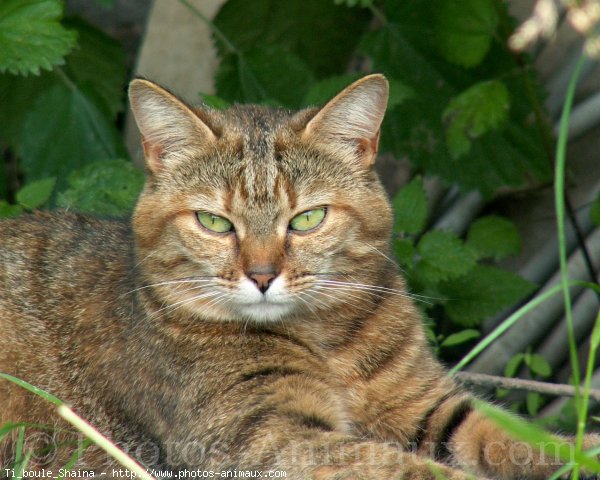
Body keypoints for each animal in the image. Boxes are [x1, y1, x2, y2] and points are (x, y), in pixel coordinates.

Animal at [0, 75, 596, 476]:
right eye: (215, 222)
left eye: (308, 218)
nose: (262, 275)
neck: (328, 343)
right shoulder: (268, 440)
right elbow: (410, 471)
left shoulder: (425, 404)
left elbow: (522, 437)